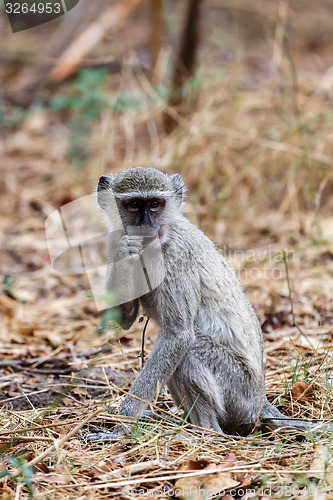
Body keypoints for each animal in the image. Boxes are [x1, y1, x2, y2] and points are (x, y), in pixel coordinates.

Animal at [89, 167, 330, 438]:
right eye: (132, 205)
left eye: (155, 204)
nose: (145, 226)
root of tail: (260, 402)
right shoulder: (115, 238)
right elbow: (126, 320)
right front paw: (124, 250)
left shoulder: (176, 258)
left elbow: (179, 335)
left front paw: (122, 426)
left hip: (238, 393)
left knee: (190, 349)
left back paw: (204, 432)